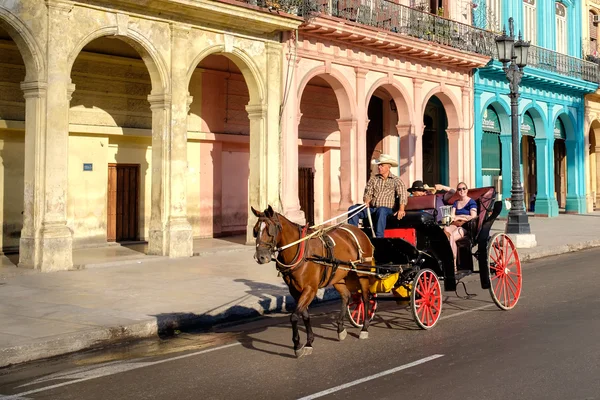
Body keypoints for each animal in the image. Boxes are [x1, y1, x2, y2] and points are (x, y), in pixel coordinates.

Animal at [250, 205, 372, 358]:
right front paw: (309, 342)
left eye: (269, 230)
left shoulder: (310, 289)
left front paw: (298, 345)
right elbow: (305, 315)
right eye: (255, 230)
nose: (260, 257)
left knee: (365, 298)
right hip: (338, 275)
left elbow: (294, 316)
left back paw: (364, 328)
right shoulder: (294, 290)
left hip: (363, 273)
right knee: (346, 296)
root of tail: (359, 231)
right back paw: (340, 328)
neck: (301, 251)